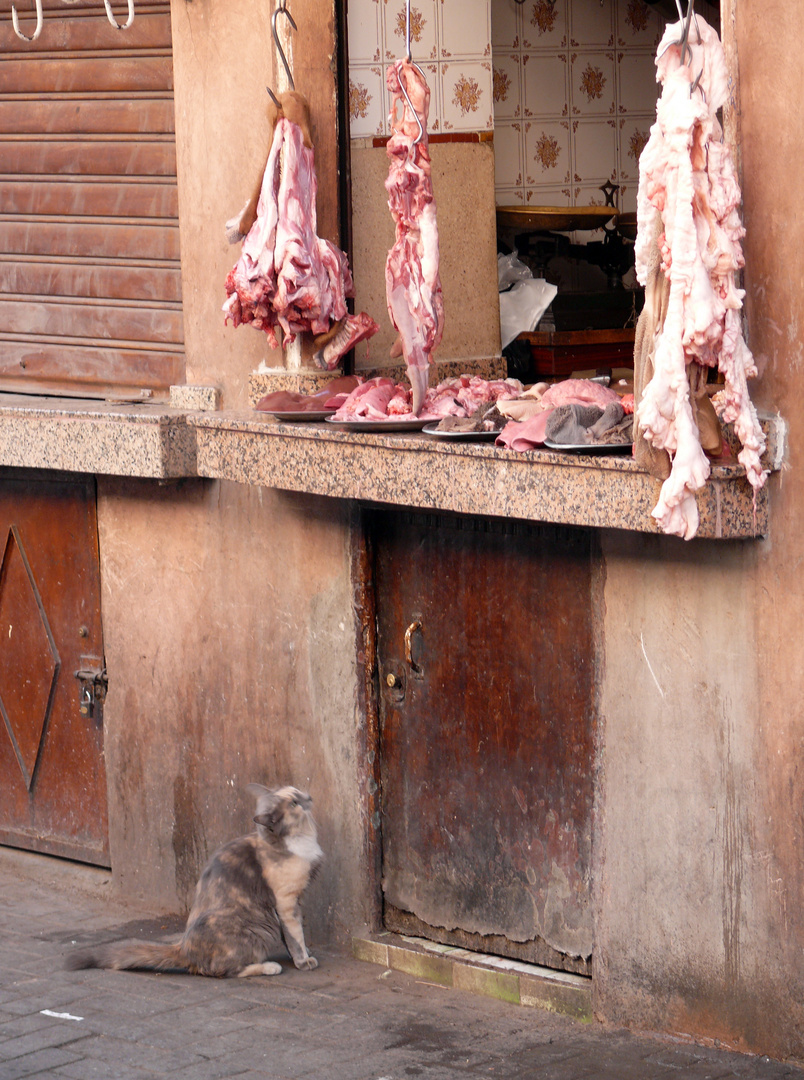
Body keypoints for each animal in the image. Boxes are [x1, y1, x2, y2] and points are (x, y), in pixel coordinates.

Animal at [65, 786, 324, 980]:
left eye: (298, 791)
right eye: (294, 803)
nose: (310, 797)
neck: (301, 839)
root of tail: (184, 947)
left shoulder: (294, 901)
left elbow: (291, 939)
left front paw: (301, 953)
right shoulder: (286, 902)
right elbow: (295, 935)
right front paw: (303, 960)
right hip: (255, 929)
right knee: (223, 971)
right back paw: (269, 966)